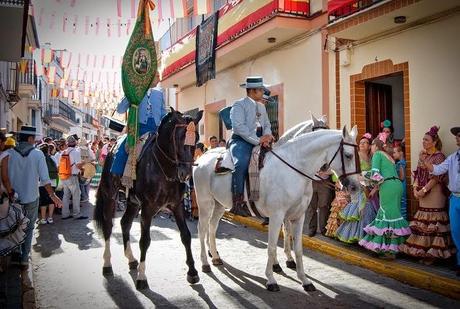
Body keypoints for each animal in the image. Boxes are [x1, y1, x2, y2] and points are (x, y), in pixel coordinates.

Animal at [95, 107, 203, 288]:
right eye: (179, 137)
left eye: (196, 138)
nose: (186, 174)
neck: (164, 169)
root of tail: (112, 147)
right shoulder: (148, 208)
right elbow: (145, 241)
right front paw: (142, 277)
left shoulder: (177, 206)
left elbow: (186, 236)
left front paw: (193, 272)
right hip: (110, 195)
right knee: (108, 226)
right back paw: (107, 265)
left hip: (133, 202)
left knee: (125, 223)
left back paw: (131, 259)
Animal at [193, 125, 360, 292]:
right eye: (348, 155)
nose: (355, 186)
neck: (294, 170)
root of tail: (201, 159)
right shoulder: (276, 215)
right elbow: (272, 246)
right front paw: (271, 279)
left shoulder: (299, 216)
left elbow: (297, 248)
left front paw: (304, 280)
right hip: (205, 203)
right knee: (202, 229)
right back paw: (205, 263)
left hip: (219, 204)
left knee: (212, 227)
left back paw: (215, 257)